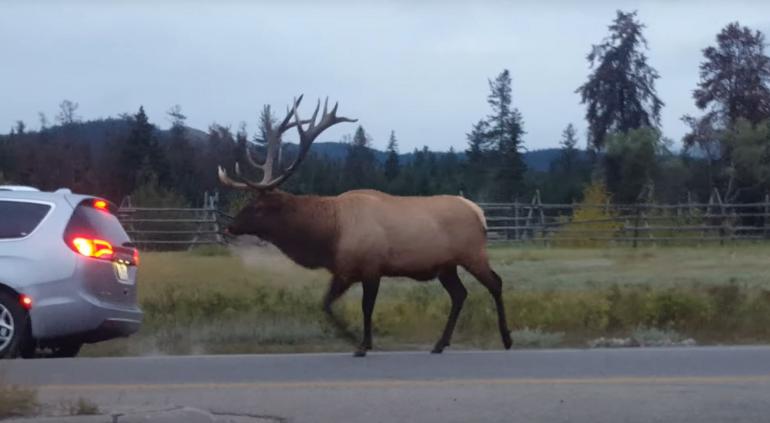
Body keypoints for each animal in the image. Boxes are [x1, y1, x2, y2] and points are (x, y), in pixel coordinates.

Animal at [219, 94, 512, 356]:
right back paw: (440, 344)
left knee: (495, 283)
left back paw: (506, 338)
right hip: (445, 266)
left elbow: (366, 308)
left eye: (258, 208)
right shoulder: (344, 270)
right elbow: (325, 304)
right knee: (460, 294)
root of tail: (478, 212)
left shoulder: (371, 267)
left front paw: (362, 344)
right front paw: (354, 339)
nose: (229, 227)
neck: (329, 235)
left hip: (472, 253)